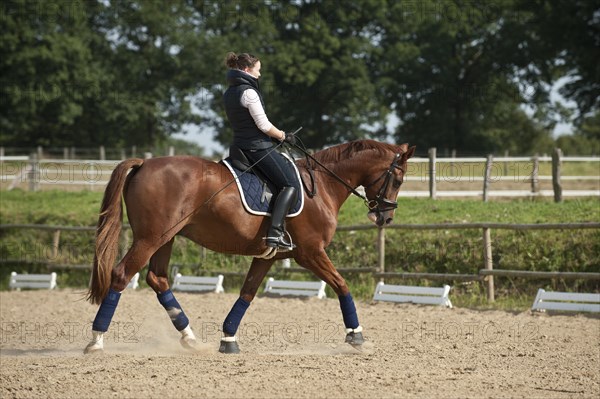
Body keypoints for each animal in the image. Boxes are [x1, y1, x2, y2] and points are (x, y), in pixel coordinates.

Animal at [85, 140, 412, 354]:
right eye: (397, 179)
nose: (386, 217)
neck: (320, 186)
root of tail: (144, 163)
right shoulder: (311, 252)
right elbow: (342, 285)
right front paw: (356, 336)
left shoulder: (269, 255)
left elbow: (248, 293)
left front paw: (228, 339)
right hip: (150, 238)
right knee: (121, 275)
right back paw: (96, 341)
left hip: (166, 238)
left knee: (157, 279)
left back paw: (190, 339)